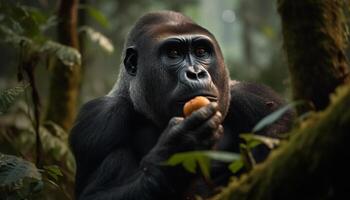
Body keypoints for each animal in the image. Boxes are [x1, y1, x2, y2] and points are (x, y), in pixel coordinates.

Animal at [69, 11, 294, 200]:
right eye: (174, 53)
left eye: (201, 51)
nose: (195, 73)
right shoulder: (98, 120)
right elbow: (94, 195)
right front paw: (177, 152)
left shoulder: (255, 98)